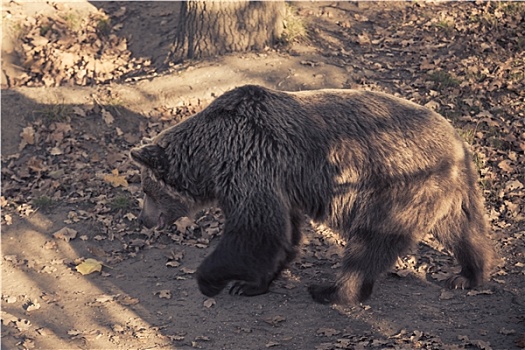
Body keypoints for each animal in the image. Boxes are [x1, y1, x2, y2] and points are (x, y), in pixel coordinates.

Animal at [129, 84, 494, 304]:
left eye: (146, 189)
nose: (143, 220)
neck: (212, 155)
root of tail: (459, 143)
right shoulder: (278, 182)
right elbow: (283, 233)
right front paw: (250, 284)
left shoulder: (251, 163)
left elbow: (255, 230)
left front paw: (212, 280)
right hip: (449, 192)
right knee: (463, 230)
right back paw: (468, 275)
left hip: (397, 187)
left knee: (370, 242)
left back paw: (333, 290)